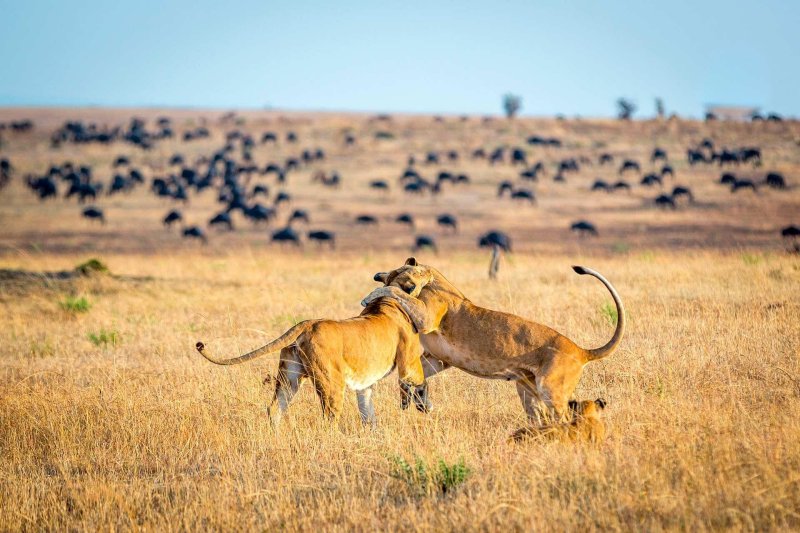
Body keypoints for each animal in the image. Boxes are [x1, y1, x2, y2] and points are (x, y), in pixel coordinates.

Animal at [196, 288, 428, 426]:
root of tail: (307, 324)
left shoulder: (365, 384)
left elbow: (367, 411)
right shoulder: (409, 364)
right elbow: (417, 382)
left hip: (289, 377)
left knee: (275, 408)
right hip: (332, 382)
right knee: (329, 416)